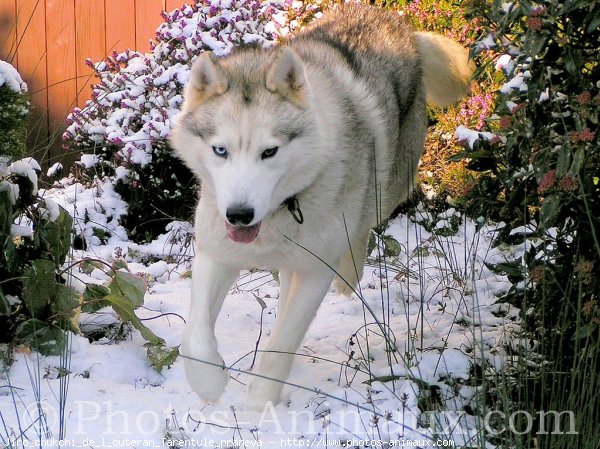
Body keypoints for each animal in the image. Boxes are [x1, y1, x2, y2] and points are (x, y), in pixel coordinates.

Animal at [170, 3, 474, 410]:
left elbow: (280, 345)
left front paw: (258, 410)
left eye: (270, 152)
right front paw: (210, 384)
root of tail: (400, 25)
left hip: (384, 191)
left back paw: (349, 274)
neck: (282, 210)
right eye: (221, 150)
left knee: (362, 227)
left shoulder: (316, 272)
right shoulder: (217, 252)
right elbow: (195, 335)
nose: (239, 215)